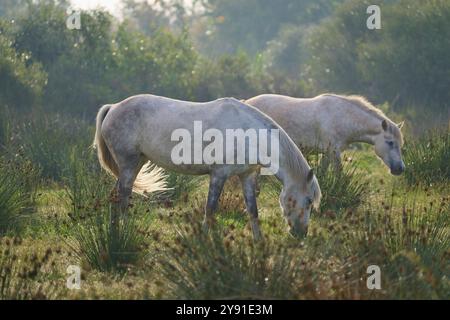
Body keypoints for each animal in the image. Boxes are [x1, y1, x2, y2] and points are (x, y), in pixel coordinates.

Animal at [93, 94, 322, 239]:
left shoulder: (247, 176)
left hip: (136, 163)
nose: (301, 234)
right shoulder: (218, 175)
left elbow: (252, 211)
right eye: (309, 200)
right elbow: (210, 209)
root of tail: (112, 107)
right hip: (129, 164)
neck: (247, 133)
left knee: (115, 196)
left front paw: (259, 242)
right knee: (123, 198)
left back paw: (114, 234)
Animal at [244, 93, 406, 175]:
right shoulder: (334, 152)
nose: (400, 168)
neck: (342, 117)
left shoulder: (328, 153)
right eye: (390, 142)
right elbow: (339, 174)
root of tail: (245, 102)